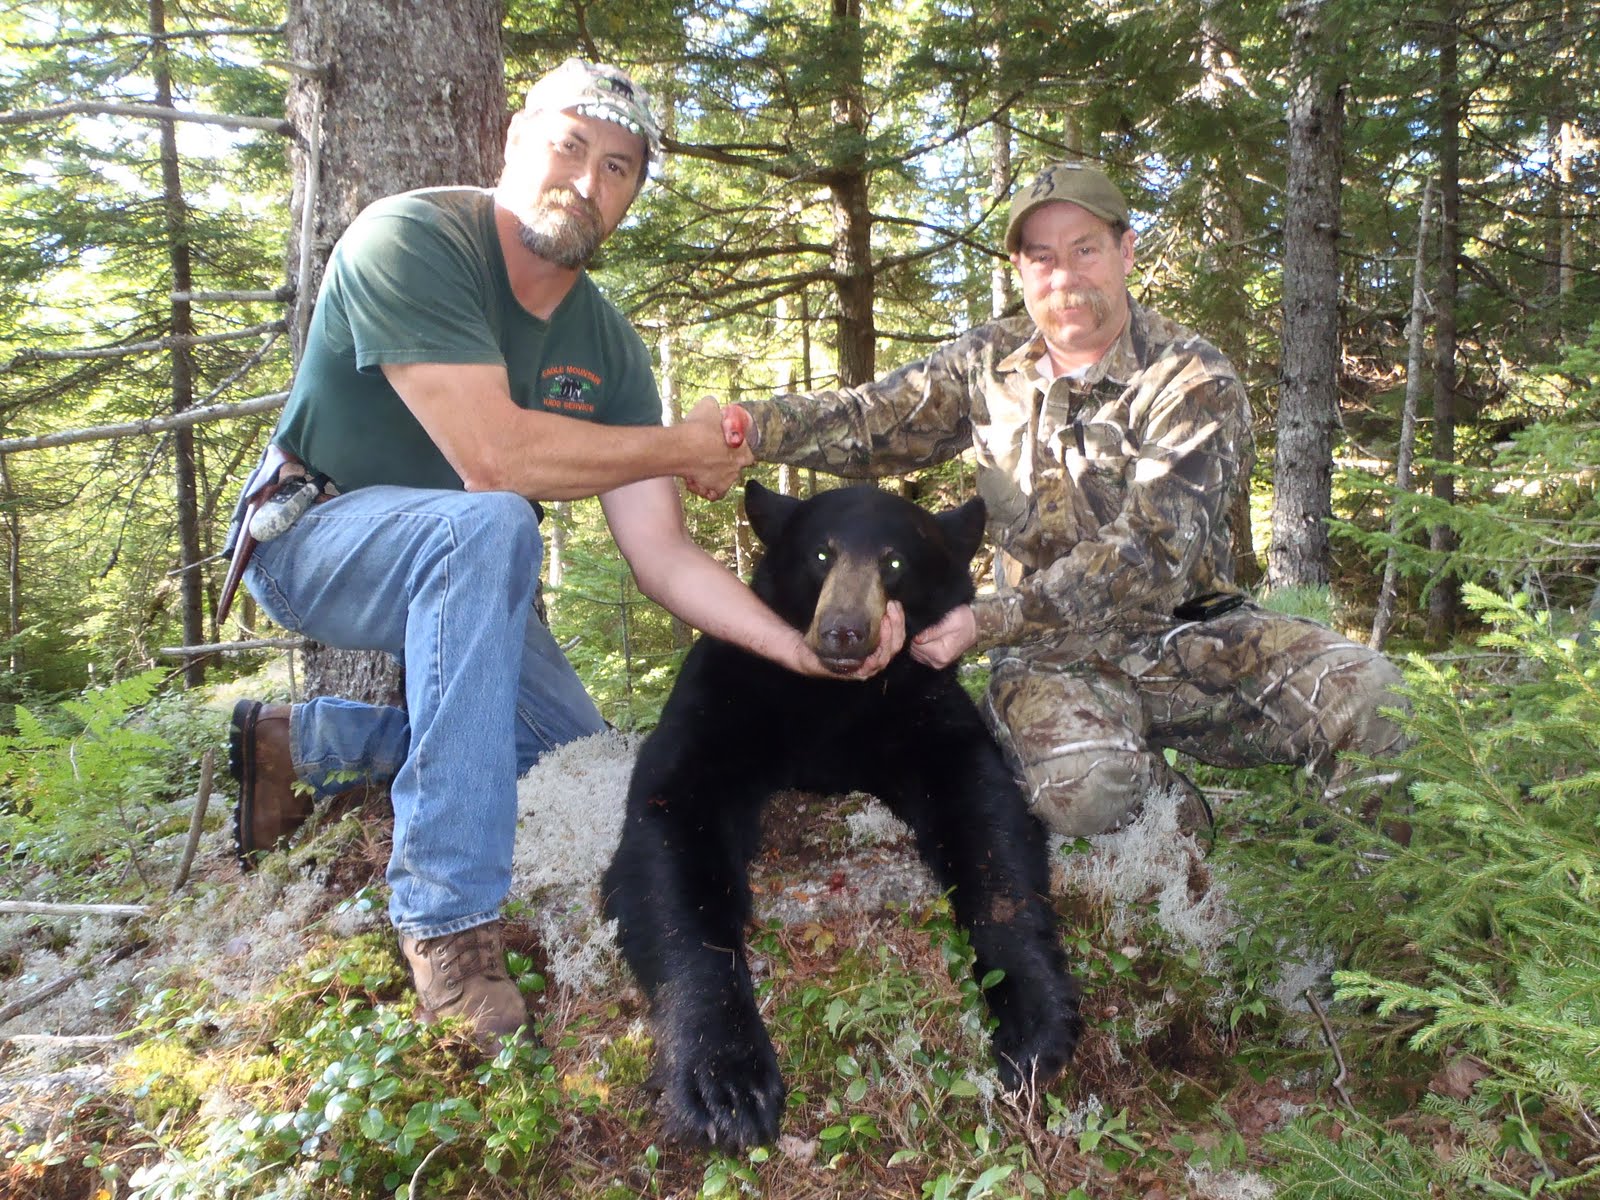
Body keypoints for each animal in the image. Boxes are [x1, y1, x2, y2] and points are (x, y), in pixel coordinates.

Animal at [601, 481, 1082, 1151]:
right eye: (821, 554)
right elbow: (671, 825)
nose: (845, 632)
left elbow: (990, 819)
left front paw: (1034, 1020)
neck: (833, 700)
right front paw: (725, 1080)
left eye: (895, 561)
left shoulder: (919, 707)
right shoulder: (726, 699)